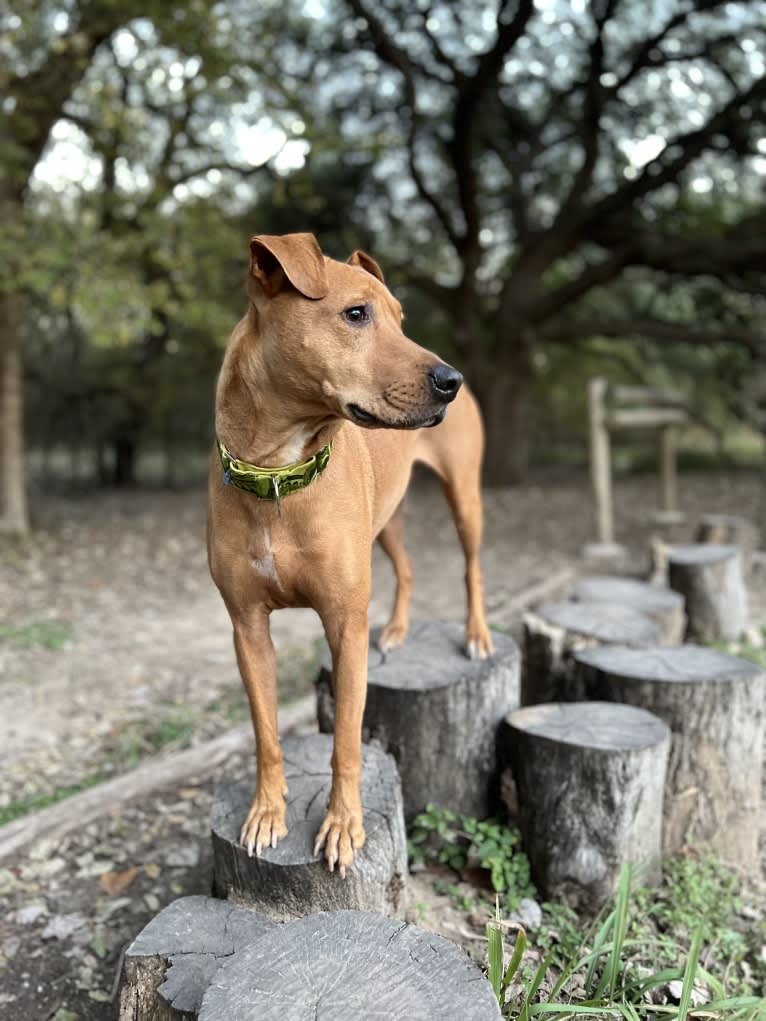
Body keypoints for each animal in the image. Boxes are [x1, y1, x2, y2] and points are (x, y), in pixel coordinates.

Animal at [205, 231, 492, 878]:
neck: (278, 473)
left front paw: (342, 826)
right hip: (385, 521)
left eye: (401, 320)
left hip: (464, 496)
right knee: (408, 567)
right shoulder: (246, 627)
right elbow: (266, 733)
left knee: (471, 569)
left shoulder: (344, 624)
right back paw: (398, 629)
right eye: (356, 314)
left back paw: (477, 634)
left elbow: (346, 740)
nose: (452, 379)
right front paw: (267, 812)